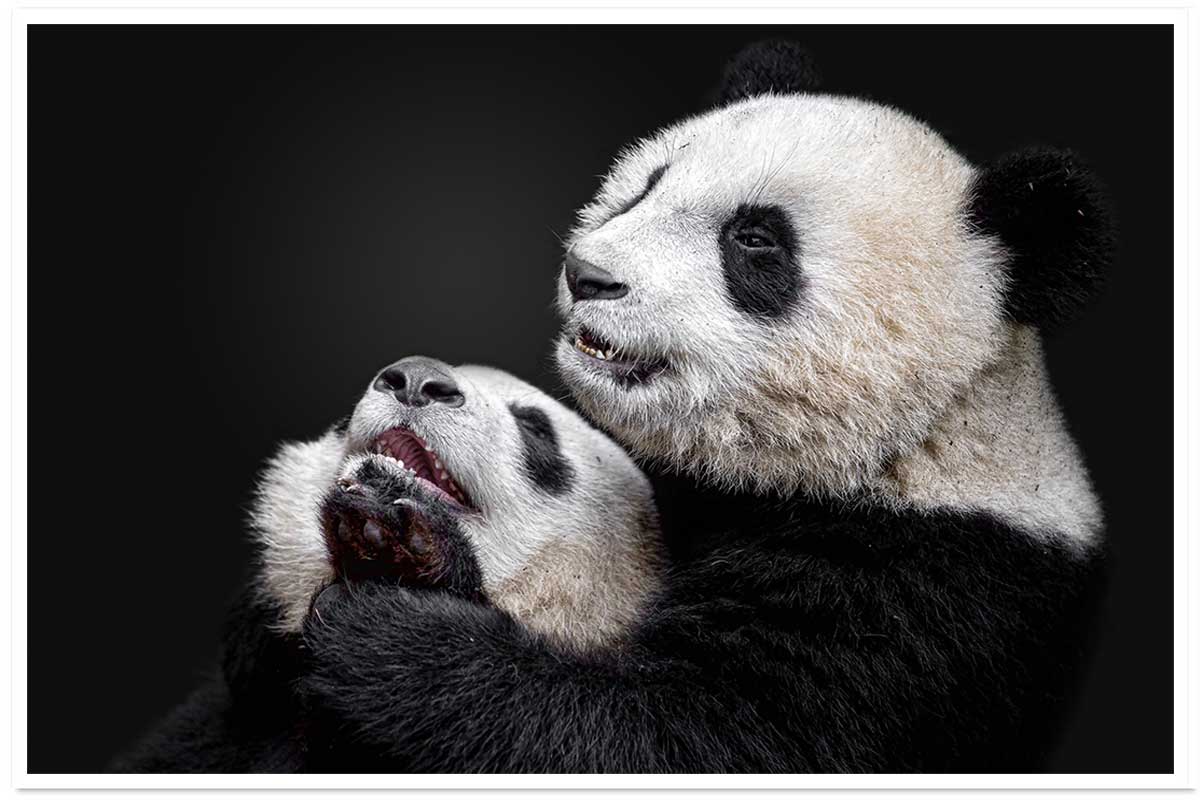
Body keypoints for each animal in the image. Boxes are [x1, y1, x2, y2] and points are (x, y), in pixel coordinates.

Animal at [292, 42, 1113, 772]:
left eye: (754, 240)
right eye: (648, 185)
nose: (588, 275)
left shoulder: (922, 594)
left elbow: (688, 738)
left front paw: (393, 612)